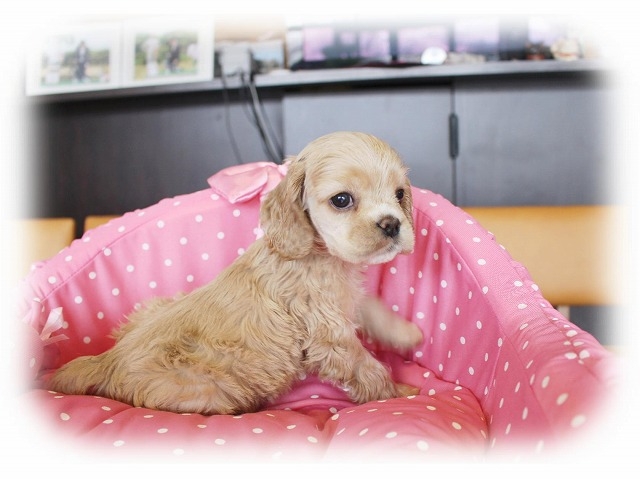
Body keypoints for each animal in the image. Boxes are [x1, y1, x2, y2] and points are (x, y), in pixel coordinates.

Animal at [49, 131, 424, 415]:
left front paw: (406, 334)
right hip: (209, 389)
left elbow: (371, 308)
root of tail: (106, 360)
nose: (391, 224)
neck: (320, 255)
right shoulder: (329, 335)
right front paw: (399, 391)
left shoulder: (344, 302)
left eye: (399, 194)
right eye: (342, 200)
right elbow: (367, 366)